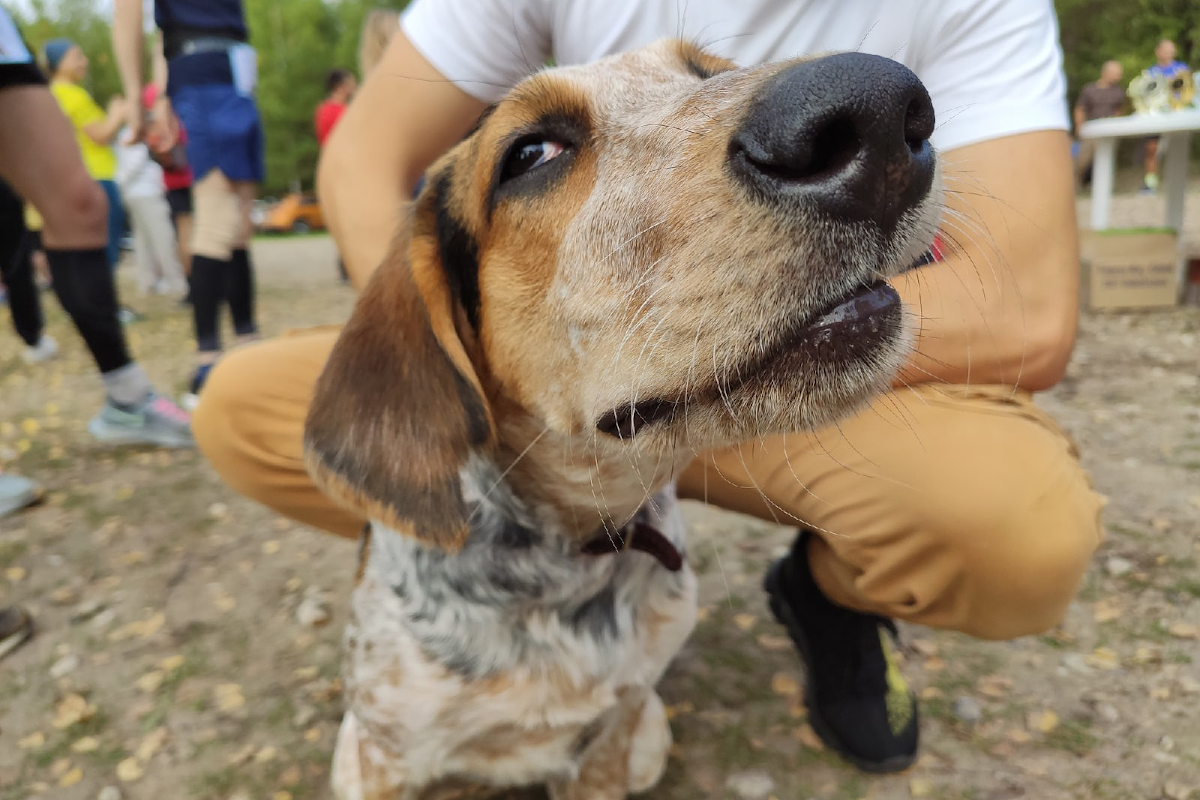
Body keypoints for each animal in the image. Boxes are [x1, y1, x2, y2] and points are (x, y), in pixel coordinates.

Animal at [304, 40, 940, 800]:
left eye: (709, 72)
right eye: (529, 154)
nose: (875, 103)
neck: (574, 550)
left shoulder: (616, 731)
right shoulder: (384, 756)